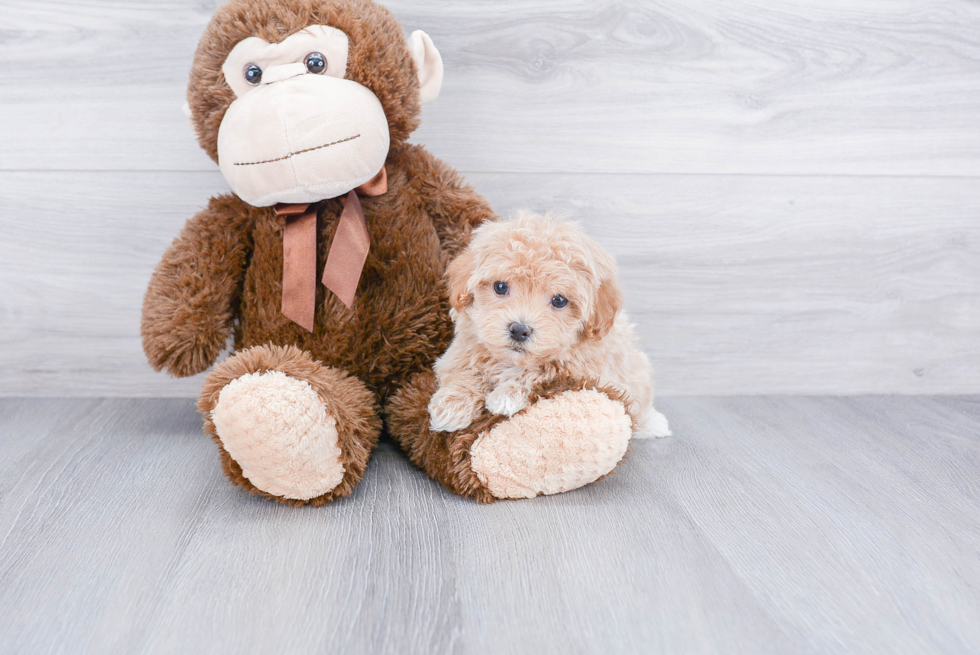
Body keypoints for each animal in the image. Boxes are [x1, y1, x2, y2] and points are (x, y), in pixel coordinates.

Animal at [430, 213, 672, 438]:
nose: (519, 330)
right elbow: (464, 372)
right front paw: (451, 406)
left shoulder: (588, 373)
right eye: (500, 287)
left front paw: (507, 395)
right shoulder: (459, 353)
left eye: (559, 300)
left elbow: (543, 373)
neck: (512, 361)